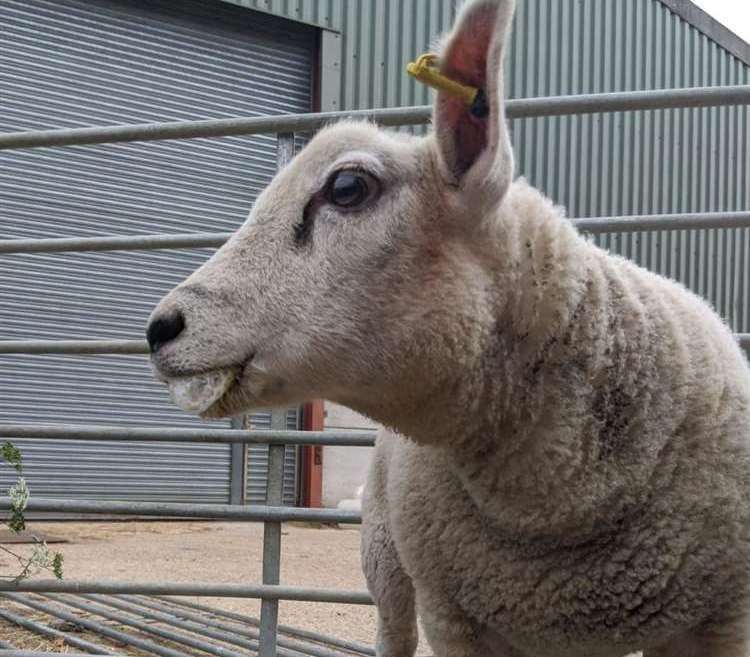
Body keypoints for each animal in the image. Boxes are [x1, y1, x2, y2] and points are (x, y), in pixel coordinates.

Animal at [147, 0, 750, 652]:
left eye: (347, 187)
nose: (161, 328)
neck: (558, 499)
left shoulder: (723, 616)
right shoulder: (451, 613)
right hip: (384, 554)